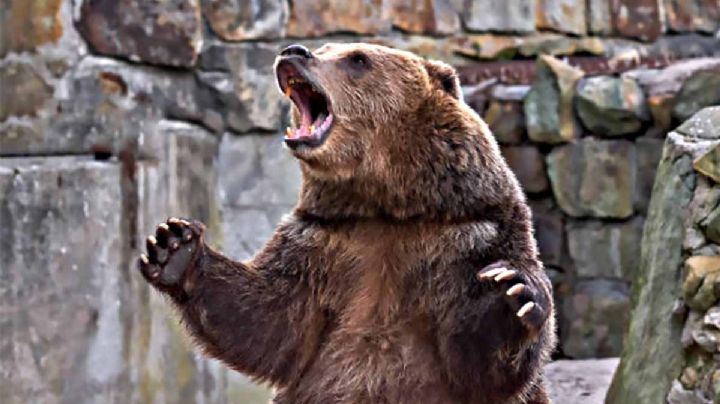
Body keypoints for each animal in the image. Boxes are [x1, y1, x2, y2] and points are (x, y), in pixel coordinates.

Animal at [138, 43, 556, 404]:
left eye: (357, 59)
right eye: (324, 49)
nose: (294, 51)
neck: (387, 204)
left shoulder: (472, 235)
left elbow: (475, 360)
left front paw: (510, 294)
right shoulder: (322, 240)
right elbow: (269, 320)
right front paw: (174, 247)